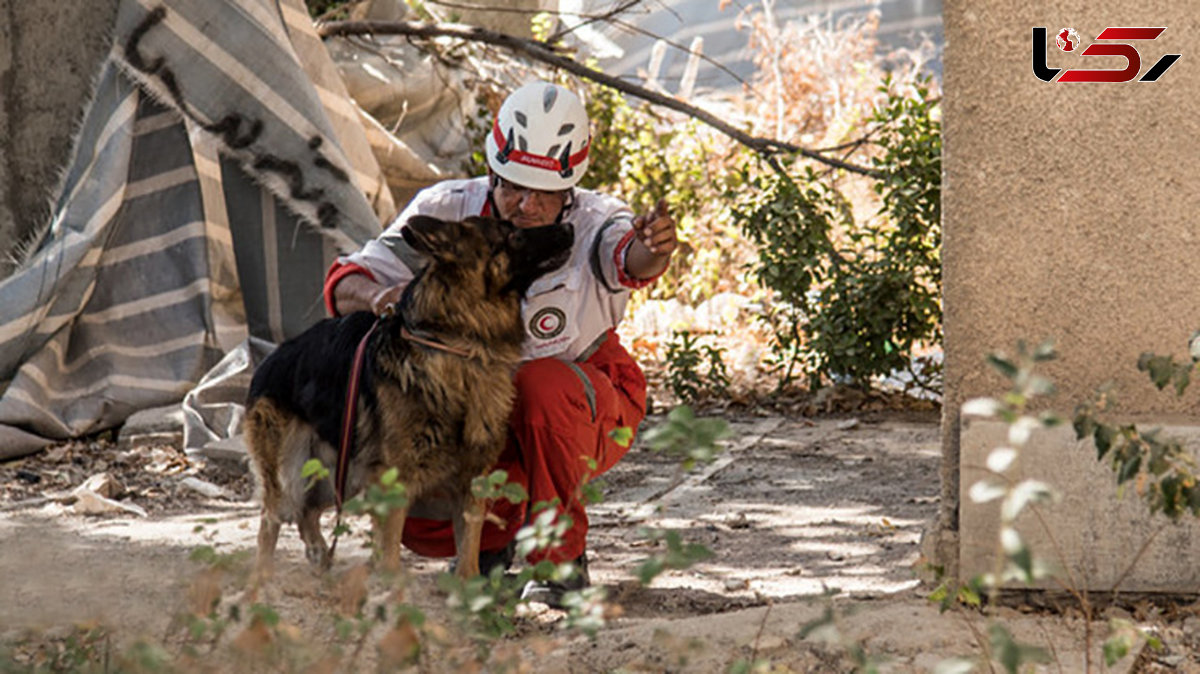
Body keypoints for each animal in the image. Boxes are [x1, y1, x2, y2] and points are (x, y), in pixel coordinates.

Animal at [243, 214, 571, 578]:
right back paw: (263, 578)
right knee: (271, 522)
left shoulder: (471, 484)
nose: (569, 228)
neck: (460, 344)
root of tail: (269, 360)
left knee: (307, 511)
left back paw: (319, 556)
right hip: (291, 475)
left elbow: (469, 557)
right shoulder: (392, 485)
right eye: (513, 235)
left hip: (339, 475)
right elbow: (389, 560)